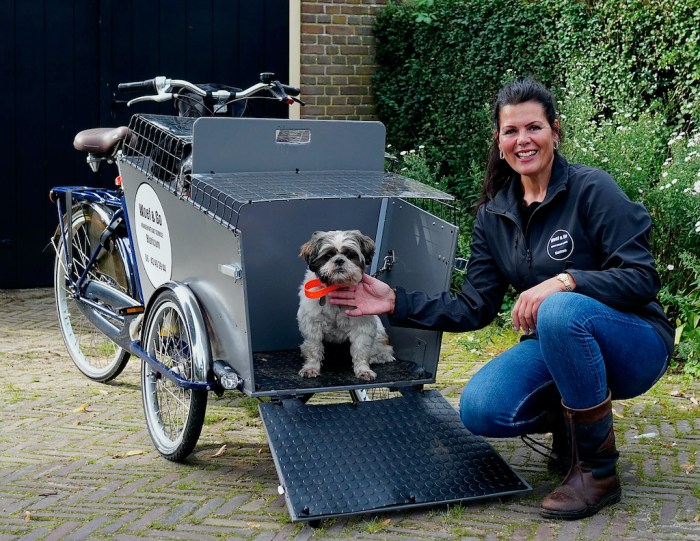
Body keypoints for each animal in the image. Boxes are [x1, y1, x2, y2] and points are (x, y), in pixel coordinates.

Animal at [297, 230, 395, 380]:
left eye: (350, 255)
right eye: (328, 255)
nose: (339, 260)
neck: (337, 287)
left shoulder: (362, 327)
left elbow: (361, 350)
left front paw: (363, 369)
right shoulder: (312, 324)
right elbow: (314, 348)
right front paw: (311, 367)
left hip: (379, 335)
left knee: (384, 351)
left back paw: (376, 357)